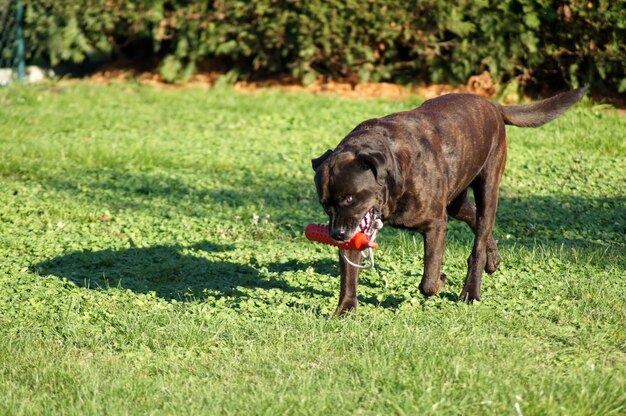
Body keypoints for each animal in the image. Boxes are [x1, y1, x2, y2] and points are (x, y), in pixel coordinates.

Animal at [312, 87, 584, 316]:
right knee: (474, 219)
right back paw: (493, 258)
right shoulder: (358, 229)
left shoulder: (435, 225)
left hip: (488, 187)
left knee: (479, 239)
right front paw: (344, 310)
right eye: (325, 204)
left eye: (350, 197)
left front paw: (441, 280)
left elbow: (429, 281)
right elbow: (349, 276)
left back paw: (471, 291)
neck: (393, 169)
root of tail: (494, 105)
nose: (337, 234)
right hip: (455, 200)